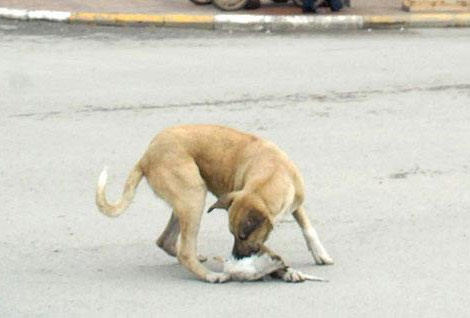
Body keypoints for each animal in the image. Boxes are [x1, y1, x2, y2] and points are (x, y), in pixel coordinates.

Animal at [95, 125, 332, 284]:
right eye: (233, 235)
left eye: (242, 236)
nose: (237, 257)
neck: (272, 172)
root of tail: (145, 156)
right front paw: (282, 270)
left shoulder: (295, 204)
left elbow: (308, 228)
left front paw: (319, 254)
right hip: (193, 196)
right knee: (184, 251)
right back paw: (210, 275)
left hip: (185, 202)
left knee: (165, 241)